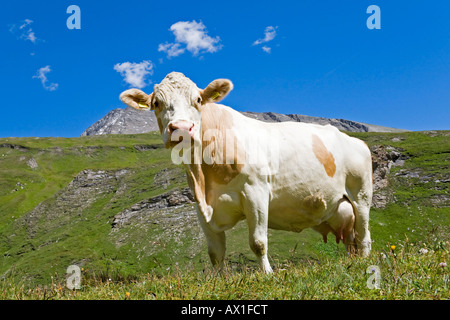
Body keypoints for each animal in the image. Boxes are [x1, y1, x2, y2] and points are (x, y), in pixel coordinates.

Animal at [119, 72, 372, 272]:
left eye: (198, 100)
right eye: (156, 103)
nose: (181, 128)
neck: (205, 177)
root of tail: (355, 140)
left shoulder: (256, 193)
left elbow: (258, 242)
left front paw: (268, 274)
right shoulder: (201, 207)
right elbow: (215, 253)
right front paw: (219, 280)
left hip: (361, 197)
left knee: (364, 237)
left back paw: (365, 264)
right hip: (340, 209)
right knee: (351, 240)